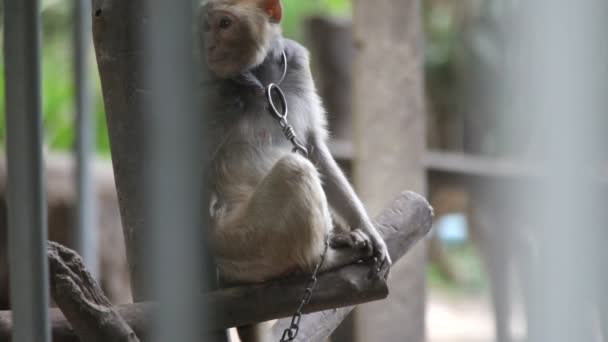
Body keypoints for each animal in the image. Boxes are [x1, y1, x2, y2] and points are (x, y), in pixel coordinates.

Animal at [198, 0, 390, 340]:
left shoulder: (299, 65)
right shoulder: (210, 92)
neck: (261, 75)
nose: (209, 46)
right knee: (293, 170)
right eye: (207, 25)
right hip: (242, 241)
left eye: (224, 24)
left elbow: (313, 146)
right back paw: (324, 261)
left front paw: (369, 230)